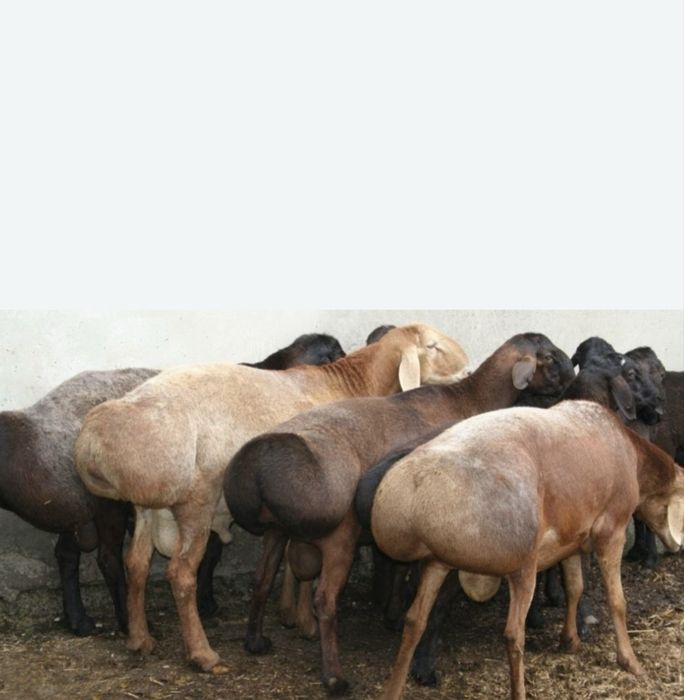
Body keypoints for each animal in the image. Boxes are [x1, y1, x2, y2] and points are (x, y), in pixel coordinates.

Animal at [74, 323, 469, 672]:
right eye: (432, 346)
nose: (467, 368)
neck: (350, 383)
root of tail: (94, 437)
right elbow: (302, 562)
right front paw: (303, 621)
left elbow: (292, 559)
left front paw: (289, 614)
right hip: (195, 501)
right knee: (181, 573)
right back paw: (202, 654)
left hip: (145, 507)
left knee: (136, 564)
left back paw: (140, 640)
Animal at [225, 332, 573, 694]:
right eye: (549, 356)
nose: (571, 380)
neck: (474, 399)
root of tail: (257, 468)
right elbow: (435, 607)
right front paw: (423, 665)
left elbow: (400, 572)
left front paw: (392, 616)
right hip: (339, 537)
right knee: (325, 601)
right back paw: (334, 676)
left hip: (275, 532)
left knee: (262, 578)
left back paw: (255, 641)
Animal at [360, 401, 684, 700]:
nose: (675, 546)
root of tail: (414, 495)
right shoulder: (611, 531)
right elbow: (617, 601)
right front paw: (630, 661)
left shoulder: (572, 541)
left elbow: (575, 588)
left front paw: (570, 640)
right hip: (522, 563)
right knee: (513, 634)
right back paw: (518, 691)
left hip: (437, 562)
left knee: (415, 621)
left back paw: (392, 690)